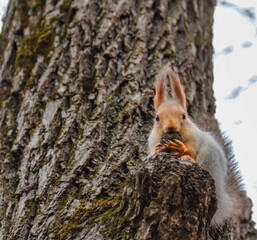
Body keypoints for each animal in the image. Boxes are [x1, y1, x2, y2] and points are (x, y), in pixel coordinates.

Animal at [148, 65, 248, 225]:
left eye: (184, 115)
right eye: (157, 117)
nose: (171, 127)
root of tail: (222, 198)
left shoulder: (195, 137)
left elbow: (192, 148)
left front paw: (181, 149)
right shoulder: (153, 139)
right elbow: (152, 150)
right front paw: (157, 149)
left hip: (209, 156)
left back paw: (189, 159)